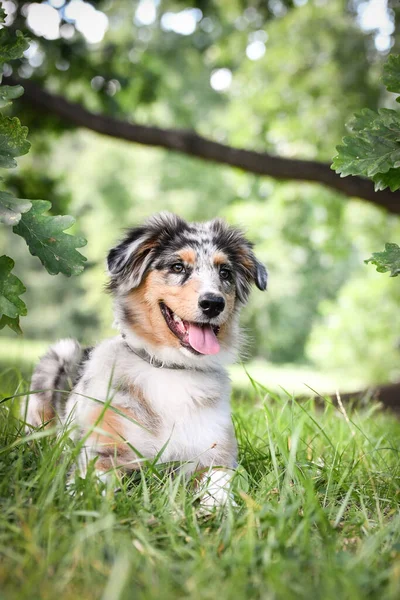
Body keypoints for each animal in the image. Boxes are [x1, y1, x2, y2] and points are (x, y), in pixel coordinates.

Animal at [26, 212, 268, 506]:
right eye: (177, 267)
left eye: (225, 273)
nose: (213, 303)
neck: (172, 368)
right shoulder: (102, 448)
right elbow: (93, 484)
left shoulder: (215, 454)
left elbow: (220, 483)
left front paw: (219, 507)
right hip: (57, 357)